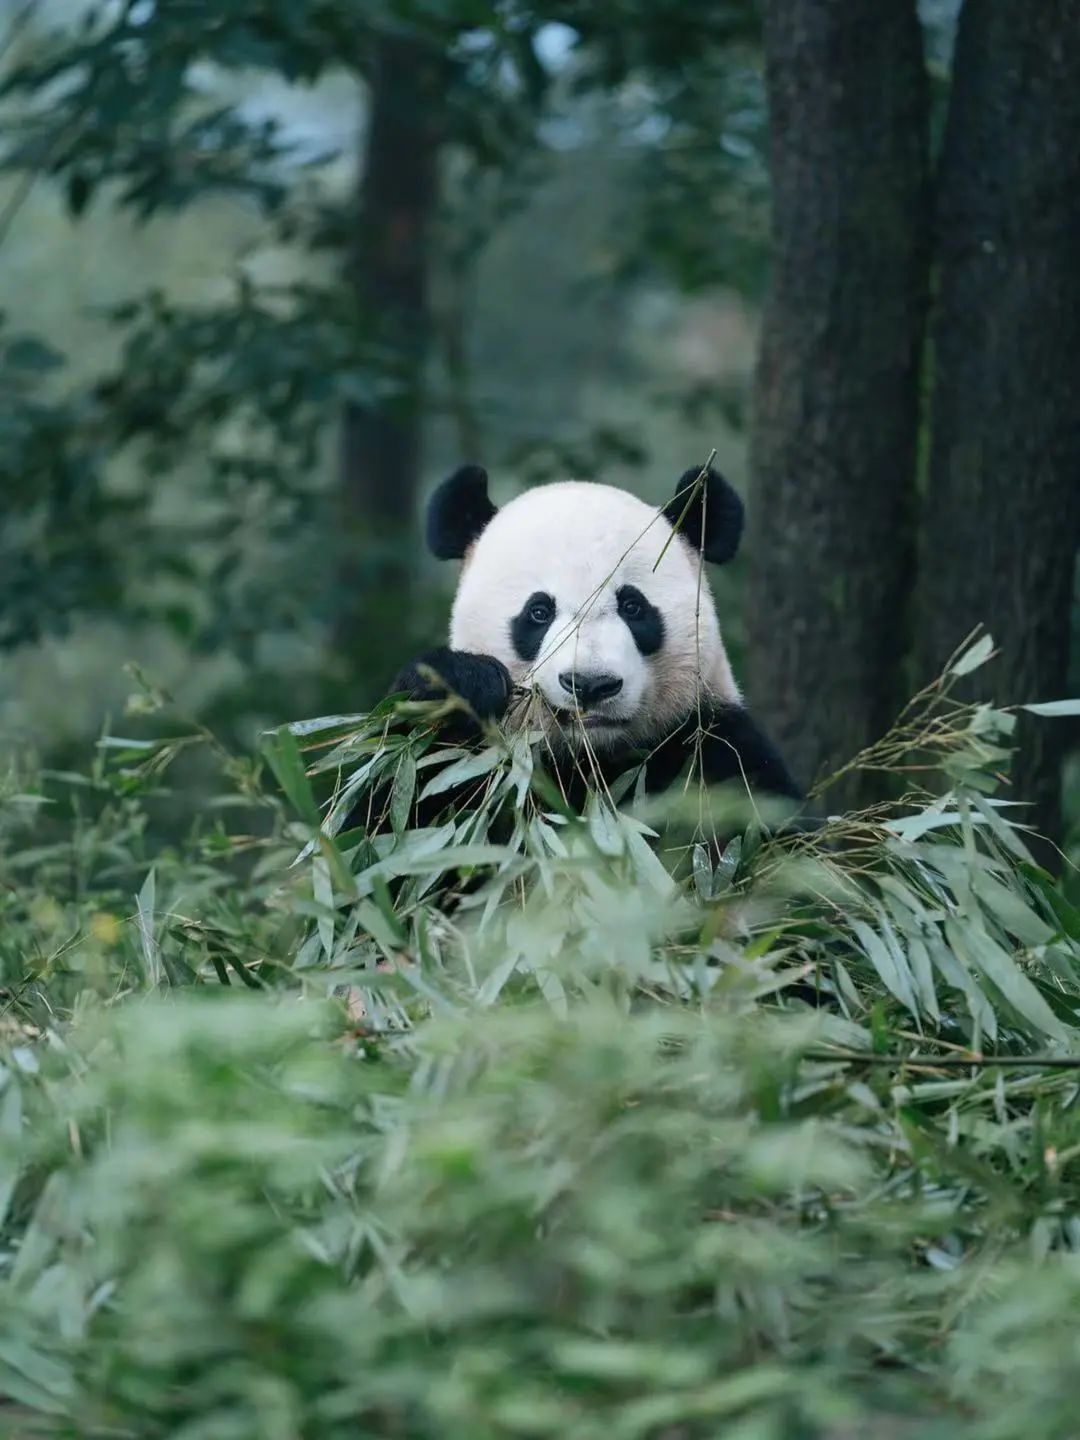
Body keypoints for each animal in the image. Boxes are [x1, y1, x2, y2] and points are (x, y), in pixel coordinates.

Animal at [383, 463, 806, 823]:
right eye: (539, 612)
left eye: (633, 606)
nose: (590, 684)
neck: (589, 758)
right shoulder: (463, 768)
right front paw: (464, 683)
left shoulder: (714, 747)